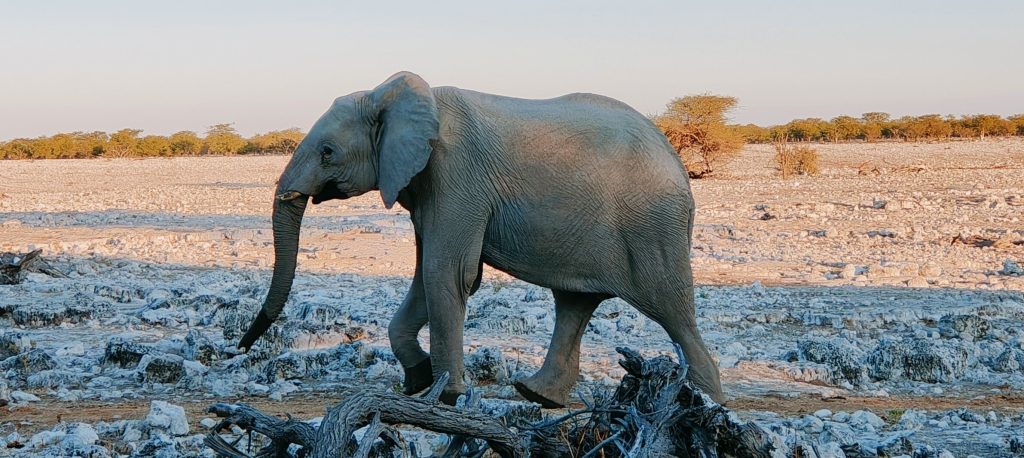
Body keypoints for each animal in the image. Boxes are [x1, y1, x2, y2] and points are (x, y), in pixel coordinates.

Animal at [238, 71, 723, 407]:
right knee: (574, 304)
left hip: (651, 227)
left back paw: (704, 404)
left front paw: (447, 396)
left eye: (327, 153)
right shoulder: (426, 185)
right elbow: (426, 276)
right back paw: (537, 396)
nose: (242, 346)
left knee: (672, 310)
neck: (393, 95)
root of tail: (680, 166)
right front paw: (418, 381)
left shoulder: (455, 176)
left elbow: (448, 274)